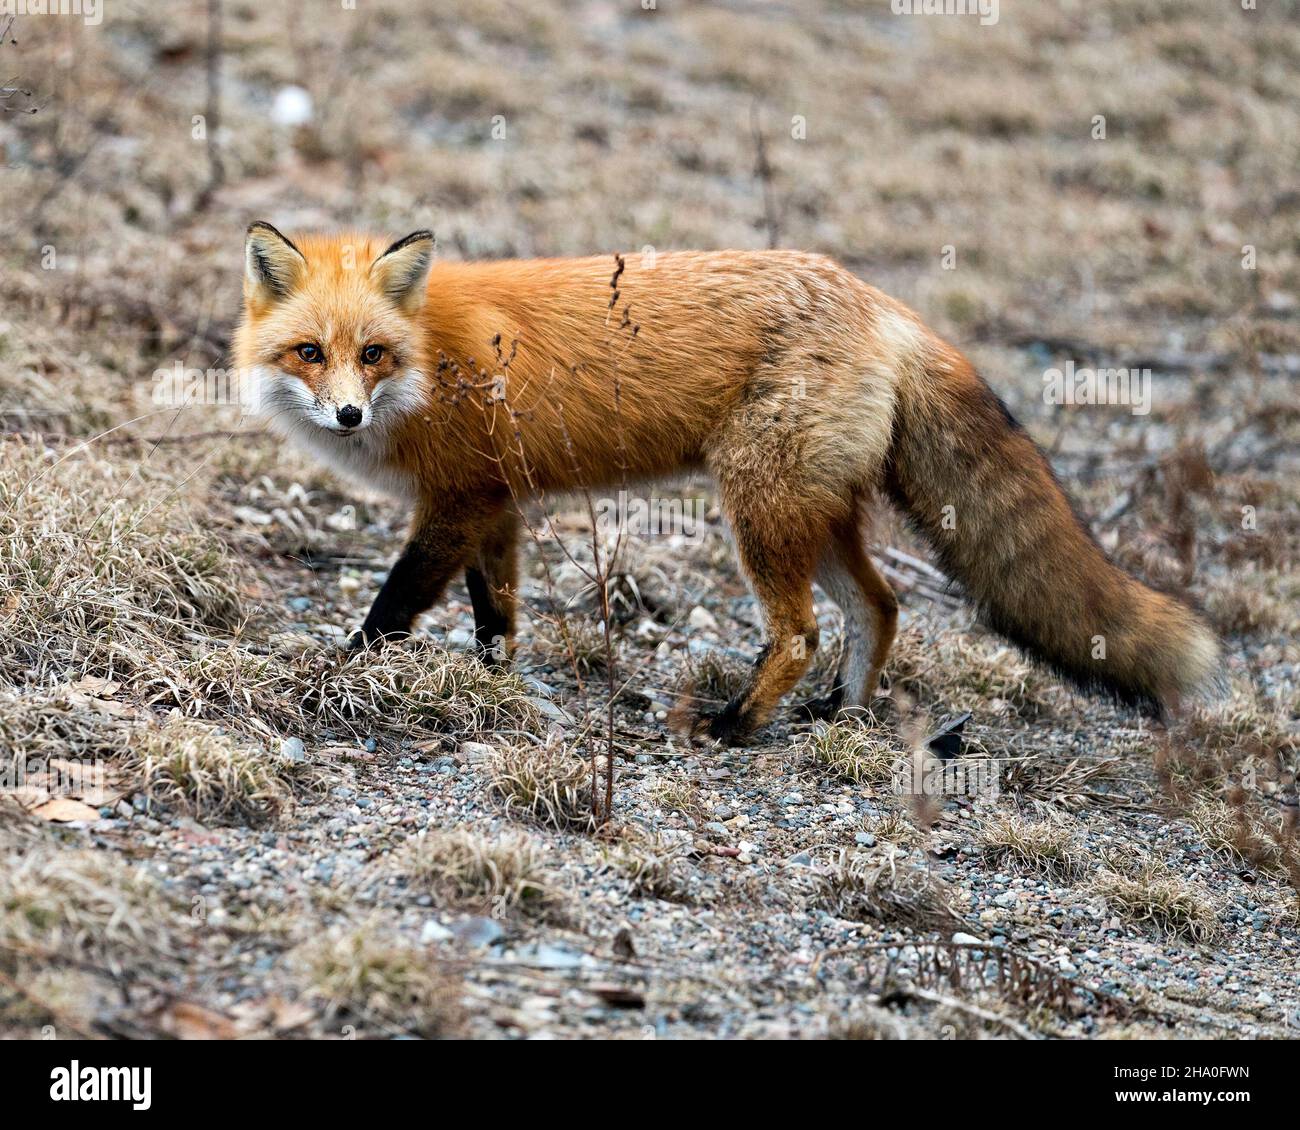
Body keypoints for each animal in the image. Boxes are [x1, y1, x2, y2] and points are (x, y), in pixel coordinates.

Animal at [233, 224, 1216, 743]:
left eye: (372, 354)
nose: (346, 416)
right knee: (882, 605)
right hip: (813, 514)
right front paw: (490, 685)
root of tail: (884, 305)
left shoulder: (458, 502)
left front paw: (344, 670)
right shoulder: (493, 504)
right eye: (310, 352)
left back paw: (735, 724)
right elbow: (494, 618)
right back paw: (840, 715)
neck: (433, 361)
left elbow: (395, 604)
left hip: (759, 510)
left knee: (802, 632)